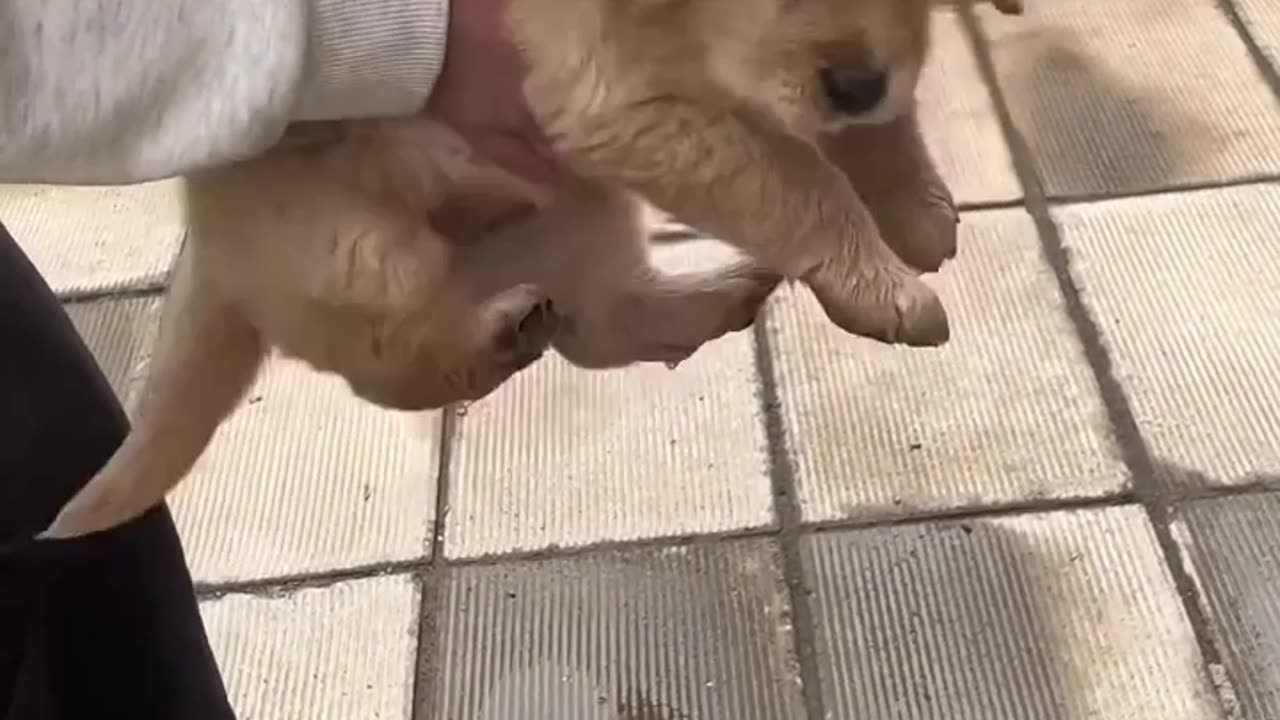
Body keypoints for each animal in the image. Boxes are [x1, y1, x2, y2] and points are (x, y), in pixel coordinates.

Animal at [40, 0, 998, 538]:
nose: (856, 81)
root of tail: (204, 242)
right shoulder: (617, 103)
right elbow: (804, 179)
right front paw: (885, 287)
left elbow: (867, 135)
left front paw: (912, 208)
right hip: (364, 249)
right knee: (393, 365)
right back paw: (496, 337)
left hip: (568, 198)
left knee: (601, 326)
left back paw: (715, 297)